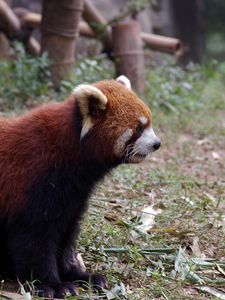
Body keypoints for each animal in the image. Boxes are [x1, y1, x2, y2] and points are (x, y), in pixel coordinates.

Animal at [0, 75, 160, 298]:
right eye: (138, 128)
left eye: (149, 122)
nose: (157, 143)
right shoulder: (31, 185)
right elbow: (34, 240)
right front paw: (52, 284)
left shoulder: (73, 197)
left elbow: (67, 237)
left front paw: (79, 275)